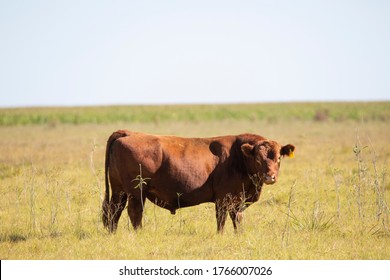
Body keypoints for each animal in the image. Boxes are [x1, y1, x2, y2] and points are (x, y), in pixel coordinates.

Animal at [102, 130, 294, 233]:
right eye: (259, 159)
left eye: (278, 158)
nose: (270, 177)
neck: (238, 157)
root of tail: (129, 133)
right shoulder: (223, 198)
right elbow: (221, 220)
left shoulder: (237, 201)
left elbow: (237, 219)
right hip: (136, 192)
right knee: (135, 213)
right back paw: (139, 233)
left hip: (119, 191)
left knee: (113, 212)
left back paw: (112, 233)